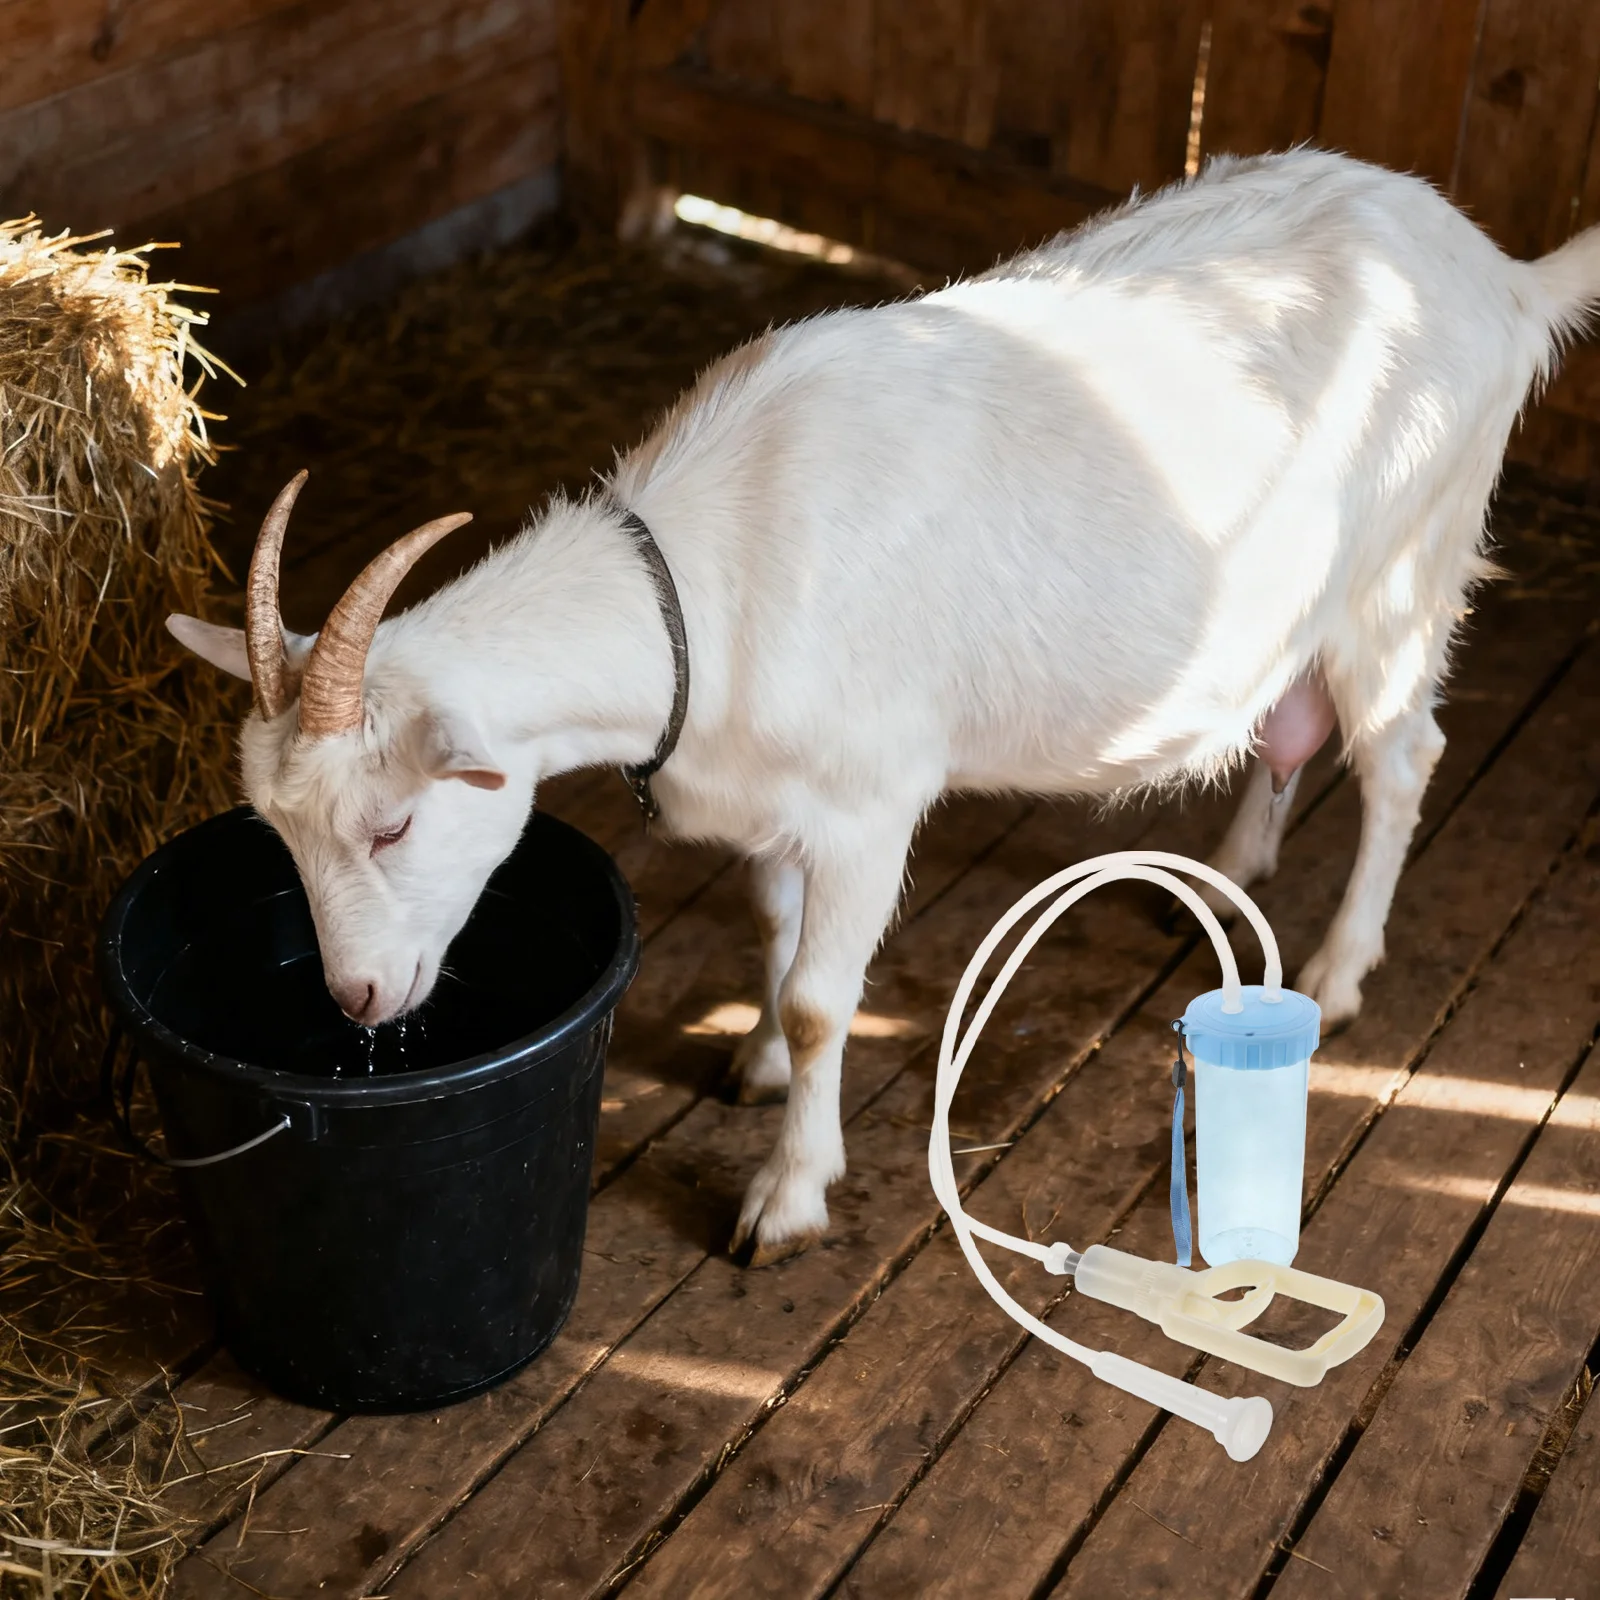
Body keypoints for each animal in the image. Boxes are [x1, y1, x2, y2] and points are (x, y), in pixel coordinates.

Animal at [171, 149, 1600, 1267]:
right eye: (278, 833)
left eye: (394, 827)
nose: (356, 1001)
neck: (710, 583)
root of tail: (1502, 274)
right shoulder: (772, 806)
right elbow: (771, 931)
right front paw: (751, 1063)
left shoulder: (868, 805)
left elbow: (821, 996)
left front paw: (785, 1196)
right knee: (1286, 722)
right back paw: (1237, 866)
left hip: (1403, 576)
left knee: (1403, 755)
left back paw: (1341, 970)